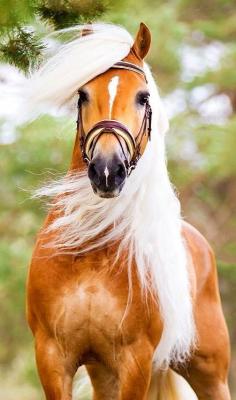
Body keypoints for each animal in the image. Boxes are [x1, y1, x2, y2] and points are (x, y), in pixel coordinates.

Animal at [26, 22, 230, 400]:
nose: (107, 171)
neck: (91, 250)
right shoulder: (53, 357)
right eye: (83, 95)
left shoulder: (135, 361)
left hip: (210, 373)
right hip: (103, 372)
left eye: (143, 97)